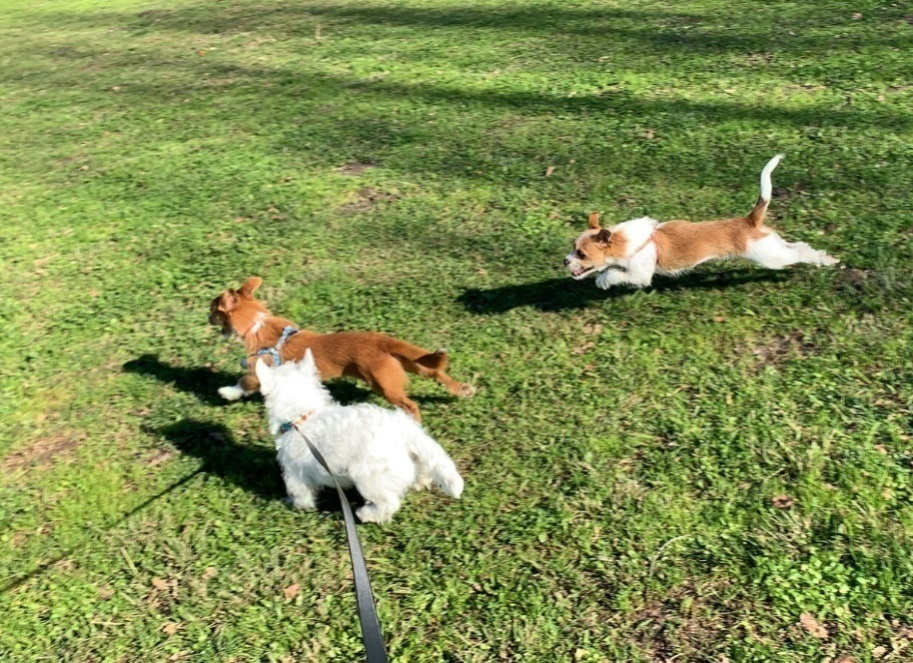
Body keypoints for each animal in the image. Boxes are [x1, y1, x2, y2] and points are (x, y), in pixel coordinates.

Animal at [209, 278, 474, 422]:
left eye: (213, 310)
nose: (206, 317)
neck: (257, 323)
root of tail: (381, 340)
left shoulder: (260, 373)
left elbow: (243, 382)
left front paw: (226, 392)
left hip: (383, 384)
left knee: (410, 405)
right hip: (412, 363)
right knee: (436, 371)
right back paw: (462, 389)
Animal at [560, 157, 836, 292]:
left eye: (581, 254)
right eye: (573, 248)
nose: (565, 260)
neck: (624, 241)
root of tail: (749, 220)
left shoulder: (640, 274)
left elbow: (613, 273)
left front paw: (602, 281)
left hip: (768, 257)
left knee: (797, 254)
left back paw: (825, 261)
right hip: (772, 247)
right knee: (800, 247)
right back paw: (824, 258)